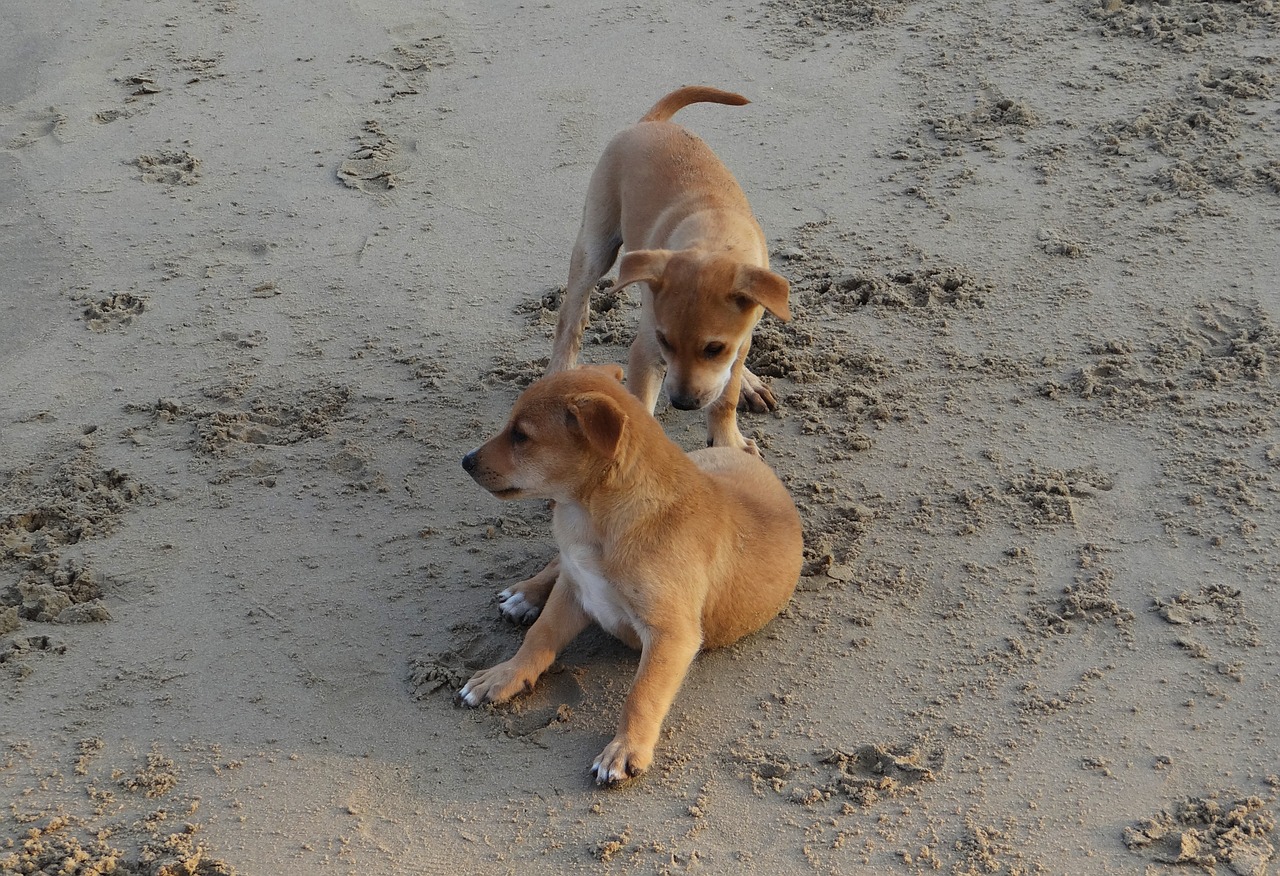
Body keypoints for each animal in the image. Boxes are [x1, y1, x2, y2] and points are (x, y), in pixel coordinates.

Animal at [460, 363, 798, 788]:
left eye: (521, 435)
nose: (466, 461)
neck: (594, 517)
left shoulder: (672, 635)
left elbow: (642, 694)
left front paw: (625, 749)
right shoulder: (576, 586)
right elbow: (540, 636)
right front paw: (504, 675)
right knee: (556, 562)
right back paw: (525, 595)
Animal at [547, 86, 788, 455]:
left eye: (714, 348)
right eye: (665, 340)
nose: (683, 403)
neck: (715, 235)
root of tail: (650, 123)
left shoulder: (738, 341)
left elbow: (725, 395)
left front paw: (727, 440)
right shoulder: (646, 350)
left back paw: (749, 382)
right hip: (596, 244)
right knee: (571, 316)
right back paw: (560, 370)